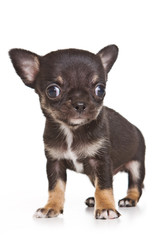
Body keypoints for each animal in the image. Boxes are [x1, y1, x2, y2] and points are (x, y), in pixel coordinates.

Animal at [9, 45, 146, 219]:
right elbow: (55, 187)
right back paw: (93, 200)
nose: (80, 104)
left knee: (136, 185)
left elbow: (104, 186)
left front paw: (106, 207)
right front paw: (51, 207)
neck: (72, 130)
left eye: (100, 90)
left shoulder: (101, 162)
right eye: (53, 91)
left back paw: (129, 199)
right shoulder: (55, 163)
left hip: (137, 165)